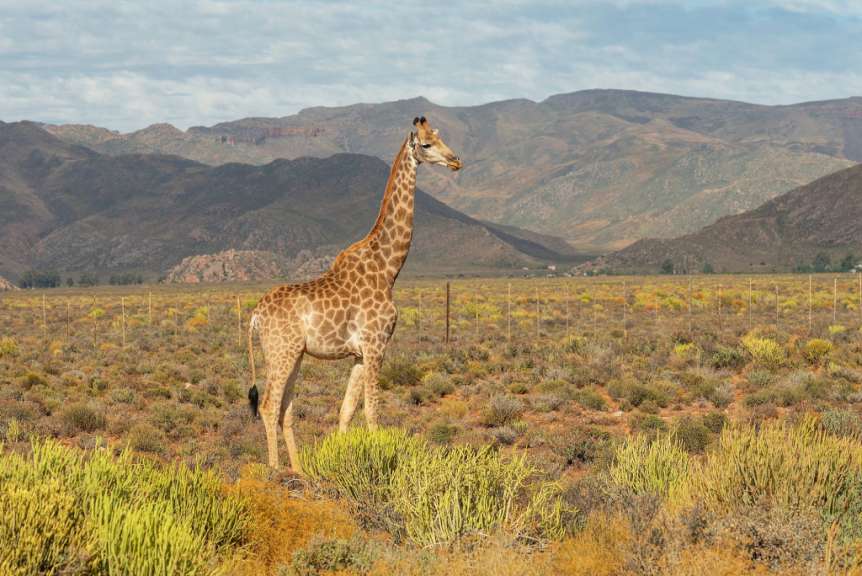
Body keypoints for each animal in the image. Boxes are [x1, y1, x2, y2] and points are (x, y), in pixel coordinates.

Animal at [247, 116, 461, 471]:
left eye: (439, 136)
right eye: (426, 144)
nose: (456, 161)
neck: (388, 269)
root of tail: (254, 316)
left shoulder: (360, 353)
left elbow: (346, 410)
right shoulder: (376, 345)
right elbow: (372, 411)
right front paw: (380, 465)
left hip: (293, 354)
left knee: (285, 408)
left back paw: (299, 470)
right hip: (280, 352)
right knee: (267, 405)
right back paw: (275, 470)